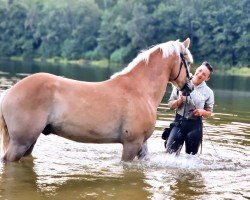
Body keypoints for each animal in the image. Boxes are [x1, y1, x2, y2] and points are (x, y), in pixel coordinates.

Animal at [0, 38, 193, 162]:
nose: (189, 87)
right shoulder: (131, 143)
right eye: (189, 62)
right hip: (21, 142)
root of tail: (9, 93)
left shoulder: (141, 143)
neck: (140, 90)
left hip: (29, 141)